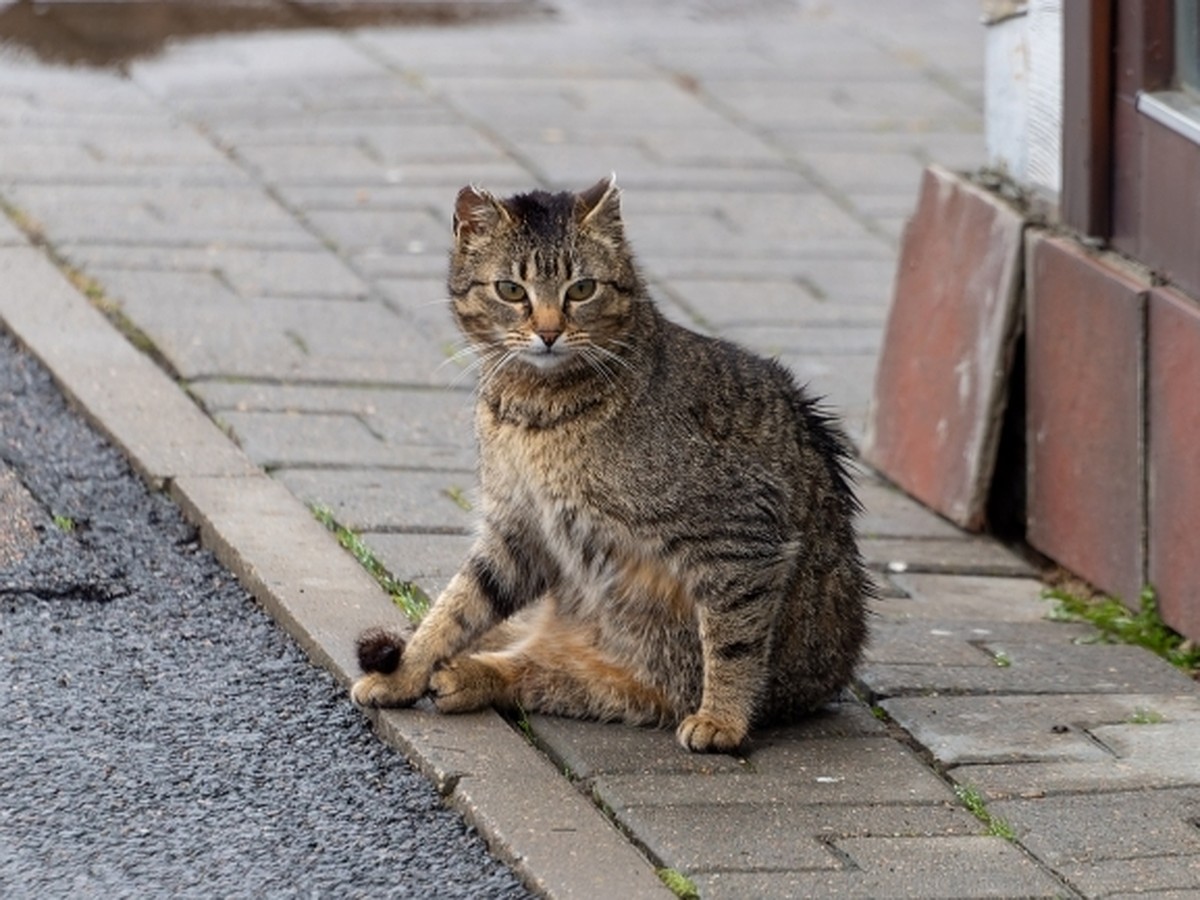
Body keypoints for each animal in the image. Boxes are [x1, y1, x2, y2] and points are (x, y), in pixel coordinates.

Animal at [350, 176, 868, 753]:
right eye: (511, 290)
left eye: (581, 290)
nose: (549, 331)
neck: (533, 410)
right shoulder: (519, 529)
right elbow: (456, 607)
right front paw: (406, 671)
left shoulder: (742, 532)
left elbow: (734, 641)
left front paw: (724, 718)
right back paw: (457, 672)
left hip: (645, 681)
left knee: (549, 674)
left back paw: (467, 676)